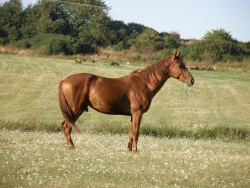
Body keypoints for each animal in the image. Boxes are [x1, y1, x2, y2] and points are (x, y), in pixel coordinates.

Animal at [58, 51, 193, 151]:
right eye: (180, 65)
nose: (191, 80)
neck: (144, 83)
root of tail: (64, 80)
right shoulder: (138, 113)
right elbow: (136, 132)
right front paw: (135, 150)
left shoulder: (133, 114)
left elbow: (131, 132)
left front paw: (128, 149)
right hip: (75, 110)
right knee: (67, 126)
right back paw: (71, 146)